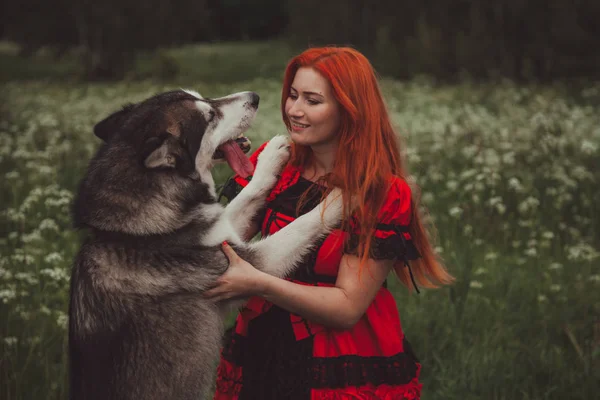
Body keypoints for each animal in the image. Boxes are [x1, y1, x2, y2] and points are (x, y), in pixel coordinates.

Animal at [69, 89, 342, 398]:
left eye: (203, 97)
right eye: (211, 116)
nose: (254, 96)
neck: (135, 233)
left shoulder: (224, 231)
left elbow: (248, 192)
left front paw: (270, 157)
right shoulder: (252, 265)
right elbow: (301, 226)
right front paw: (343, 200)